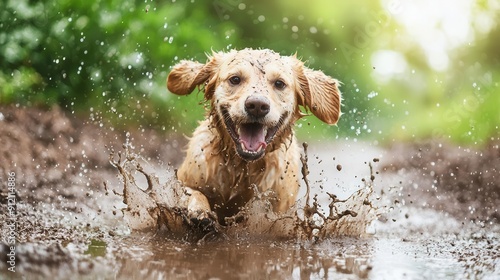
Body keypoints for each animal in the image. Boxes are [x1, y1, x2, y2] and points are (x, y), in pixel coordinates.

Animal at [166, 47, 342, 224]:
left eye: (279, 83)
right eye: (235, 79)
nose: (257, 105)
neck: (242, 167)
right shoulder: (186, 178)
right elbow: (192, 192)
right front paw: (200, 210)